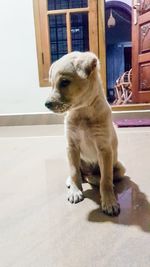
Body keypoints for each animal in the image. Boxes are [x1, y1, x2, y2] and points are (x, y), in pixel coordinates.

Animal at [45, 51, 125, 217]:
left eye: (64, 82)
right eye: (51, 83)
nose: (46, 104)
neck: (82, 112)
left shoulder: (104, 149)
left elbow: (106, 179)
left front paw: (109, 201)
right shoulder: (71, 147)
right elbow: (74, 171)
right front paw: (75, 191)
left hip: (120, 167)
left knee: (104, 177)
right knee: (79, 172)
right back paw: (73, 181)